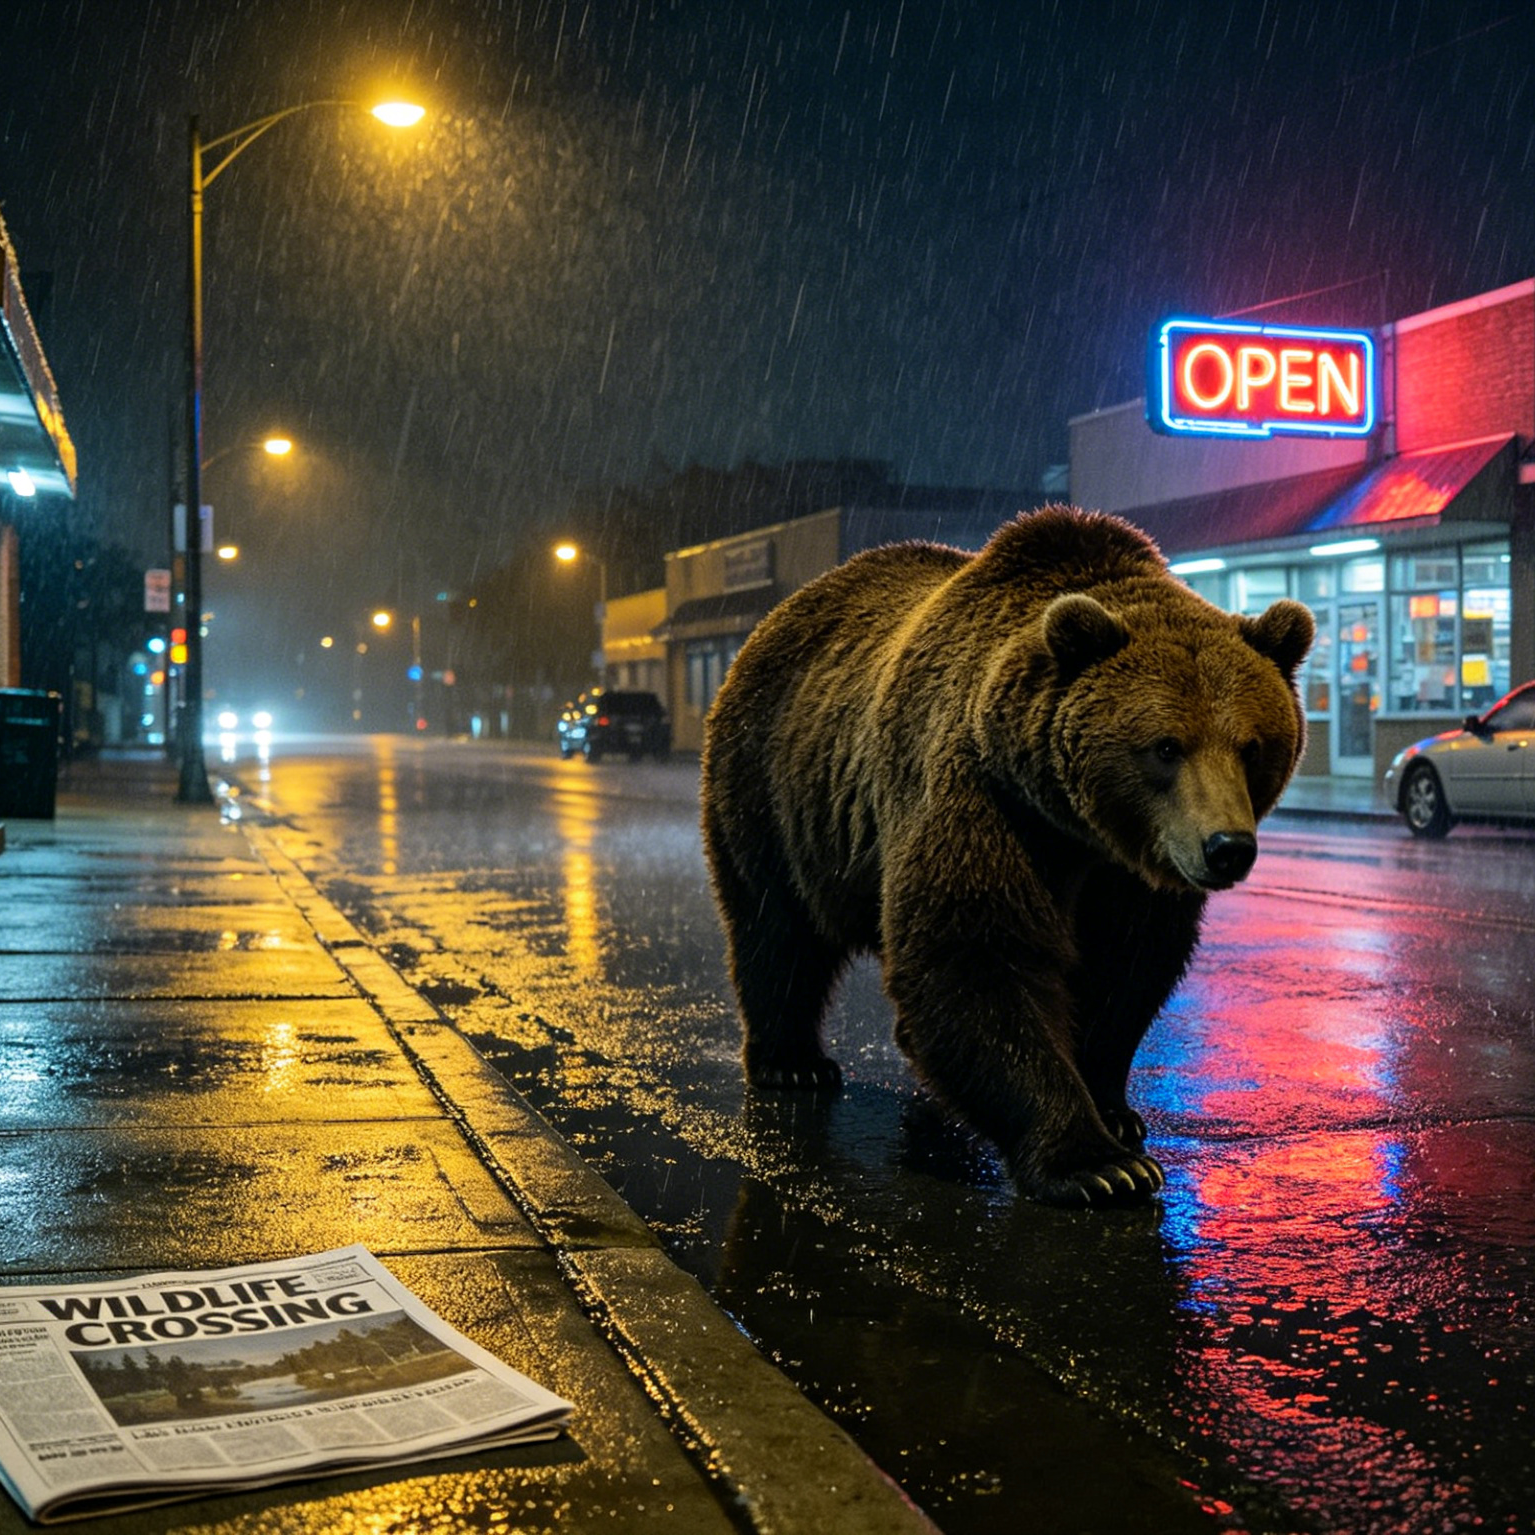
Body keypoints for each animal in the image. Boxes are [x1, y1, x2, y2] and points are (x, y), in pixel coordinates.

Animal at [700, 504, 1314, 1207]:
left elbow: (1126, 968)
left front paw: (1113, 1112)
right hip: (772, 788)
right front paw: (1098, 1165)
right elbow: (977, 952)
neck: (1076, 827)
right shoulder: (985, 800)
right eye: (1165, 747)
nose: (1227, 849)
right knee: (775, 926)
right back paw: (792, 1062)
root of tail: (776, 616)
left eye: (1252, 746)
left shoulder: (1128, 872)